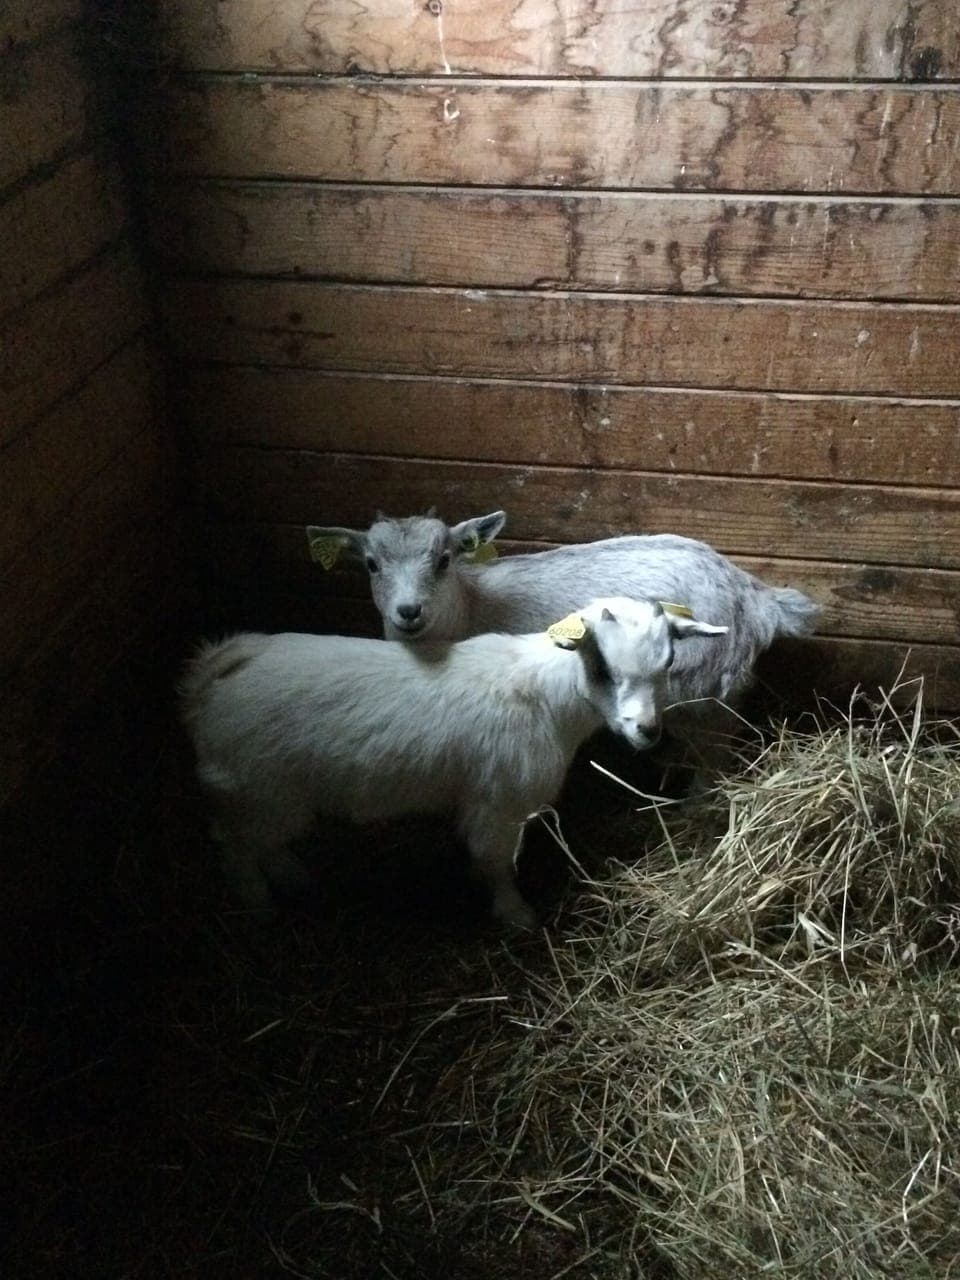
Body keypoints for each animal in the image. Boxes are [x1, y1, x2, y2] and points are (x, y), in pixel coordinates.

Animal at [180, 598, 727, 928]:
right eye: (604, 667)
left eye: (669, 662)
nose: (647, 731)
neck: (546, 693)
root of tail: (219, 671)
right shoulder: (497, 803)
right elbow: (495, 862)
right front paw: (515, 915)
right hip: (256, 788)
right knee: (233, 844)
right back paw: (258, 903)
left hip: (270, 795)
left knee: (263, 842)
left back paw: (295, 878)